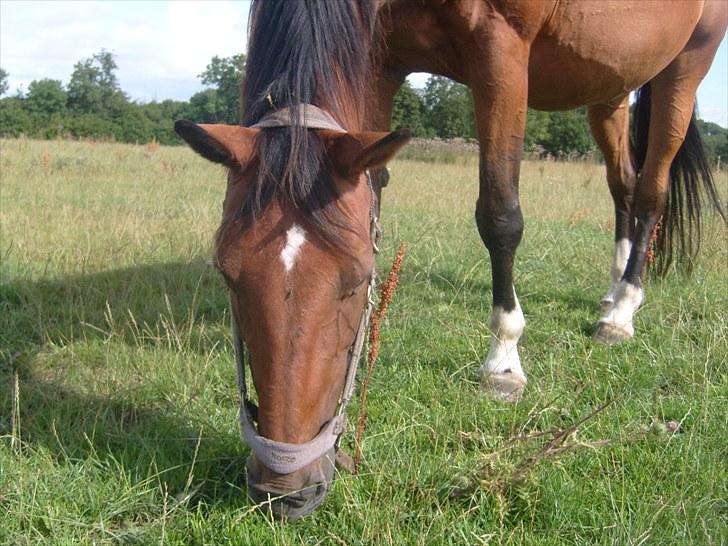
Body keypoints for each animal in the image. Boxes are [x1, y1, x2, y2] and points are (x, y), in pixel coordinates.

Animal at [173, 0, 724, 516]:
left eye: (357, 278)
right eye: (227, 272)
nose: (284, 491)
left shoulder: (501, 52)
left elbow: (500, 215)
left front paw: (504, 360)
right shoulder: (381, 62)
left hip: (684, 68)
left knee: (651, 191)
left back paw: (623, 310)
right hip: (609, 87)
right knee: (623, 185)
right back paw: (612, 290)